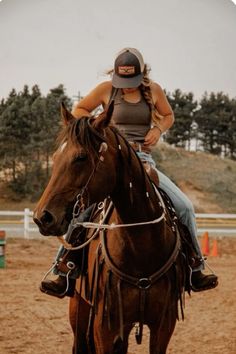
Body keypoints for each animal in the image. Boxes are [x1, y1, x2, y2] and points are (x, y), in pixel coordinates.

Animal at [33, 103, 188, 352]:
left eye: (81, 157)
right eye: (55, 157)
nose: (42, 217)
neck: (142, 247)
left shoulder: (164, 325)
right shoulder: (104, 327)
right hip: (80, 311)